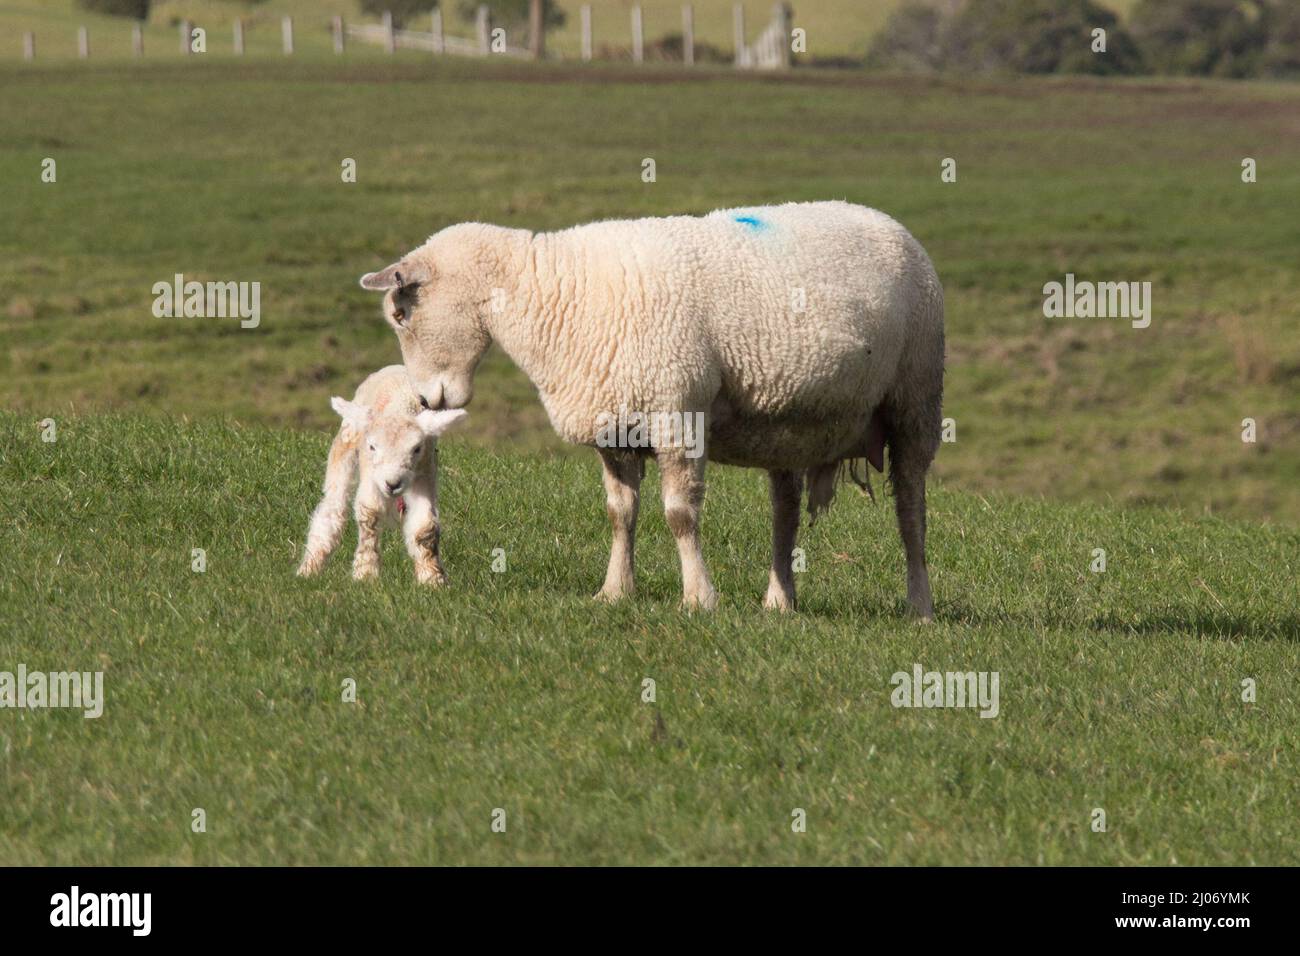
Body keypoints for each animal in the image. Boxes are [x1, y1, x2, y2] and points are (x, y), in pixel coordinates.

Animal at [297, 366, 470, 587]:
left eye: (416, 449)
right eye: (372, 447)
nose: (392, 483)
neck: (399, 407)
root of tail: (393, 368)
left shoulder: (424, 472)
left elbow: (425, 526)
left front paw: (432, 579)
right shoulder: (372, 474)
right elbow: (369, 512)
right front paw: (365, 573)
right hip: (346, 442)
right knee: (333, 507)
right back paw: (309, 568)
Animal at [356, 202, 946, 621]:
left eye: (402, 314)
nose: (428, 401)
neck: (551, 293)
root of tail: (892, 223)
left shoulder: (676, 413)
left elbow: (679, 515)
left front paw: (699, 598)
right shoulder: (614, 426)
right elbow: (621, 513)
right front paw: (615, 591)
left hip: (915, 397)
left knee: (911, 508)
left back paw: (919, 605)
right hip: (787, 423)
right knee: (785, 511)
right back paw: (780, 601)